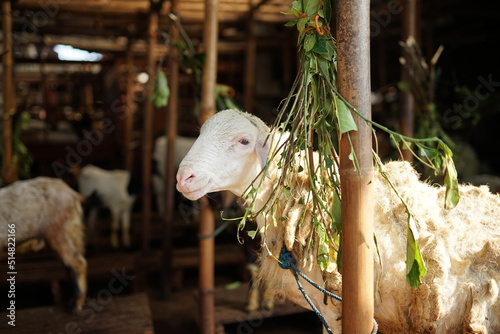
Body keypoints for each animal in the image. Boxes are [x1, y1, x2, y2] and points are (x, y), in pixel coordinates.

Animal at [0, 177, 87, 310]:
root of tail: (72, 193)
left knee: (78, 262)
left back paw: (75, 306)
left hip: (57, 231)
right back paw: (71, 302)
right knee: (71, 264)